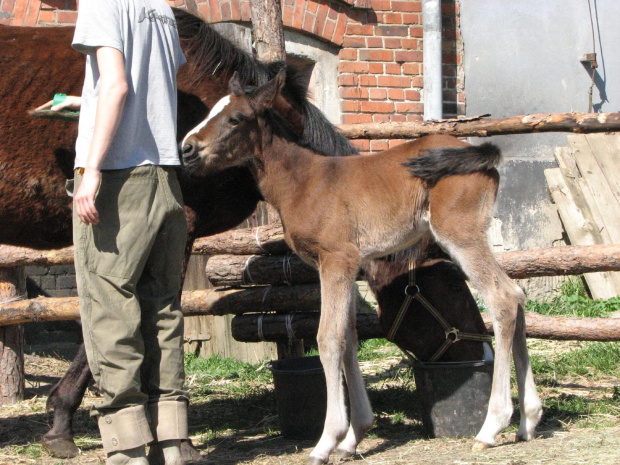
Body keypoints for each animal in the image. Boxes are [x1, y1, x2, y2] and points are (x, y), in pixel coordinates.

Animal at [182, 70, 540, 462]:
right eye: (211, 110)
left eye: (236, 118)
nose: (186, 148)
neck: (305, 180)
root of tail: (480, 154)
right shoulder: (350, 265)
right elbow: (349, 337)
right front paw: (354, 437)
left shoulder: (336, 260)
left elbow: (328, 338)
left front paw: (327, 440)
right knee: (517, 294)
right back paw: (529, 420)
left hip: (459, 234)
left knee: (503, 299)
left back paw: (492, 426)